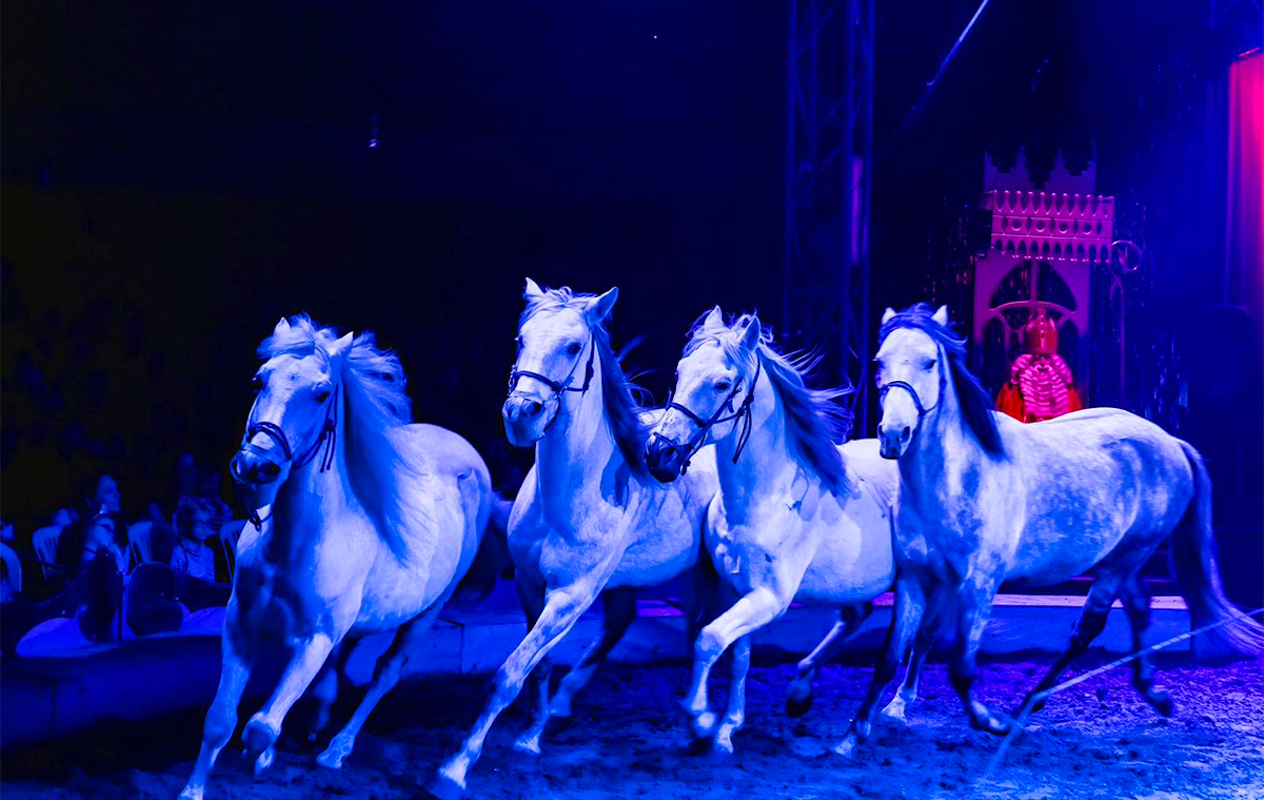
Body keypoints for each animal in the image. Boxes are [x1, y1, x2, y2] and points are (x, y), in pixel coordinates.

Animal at [179, 315, 507, 800]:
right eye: (259, 379)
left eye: (320, 393)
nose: (256, 467)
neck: (293, 544)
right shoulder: (240, 624)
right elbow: (220, 720)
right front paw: (195, 790)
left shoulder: (314, 637)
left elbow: (260, 726)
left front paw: (262, 756)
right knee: (346, 653)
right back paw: (319, 717)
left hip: (428, 611)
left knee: (386, 672)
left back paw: (337, 750)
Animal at [429, 280, 720, 799]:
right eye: (521, 339)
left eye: (572, 346)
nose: (521, 413)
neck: (566, 498)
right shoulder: (530, 584)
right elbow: (538, 665)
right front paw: (529, 736)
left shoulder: (570, 596)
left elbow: (508, 673)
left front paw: (455, 768)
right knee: (636, 623)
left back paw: (707, 725)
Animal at [643, 308, 912, 753]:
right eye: (681, 371)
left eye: (721, 384)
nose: (658, 452)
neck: (761, 501)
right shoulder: (738, 589)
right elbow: (738, 658)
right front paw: (728, 728)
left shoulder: (769, 597)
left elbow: (708, 640)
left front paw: (700, 720)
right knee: (858, 617)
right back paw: (802, 692)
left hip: (915, 586)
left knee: (902, 649)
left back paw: (868, 726)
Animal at [835, 303, 1264, 757]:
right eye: (879, 362)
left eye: (929, 362)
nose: (893, 435)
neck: (954, 480)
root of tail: (1172, 443)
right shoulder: (917, 579)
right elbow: (890, 657)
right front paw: (853, 735)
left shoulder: (978, 584)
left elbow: (961, 668)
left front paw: (993, 723)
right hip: (1119, 558)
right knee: (1140, 607)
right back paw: (1154, 695)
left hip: (1127, 557)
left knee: (1087, 629)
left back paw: (1027, 707)